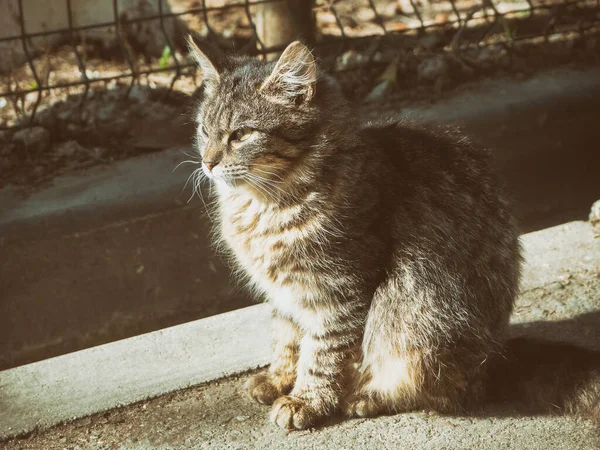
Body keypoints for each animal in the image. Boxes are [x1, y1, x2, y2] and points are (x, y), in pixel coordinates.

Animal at [189, 38, 600, 428]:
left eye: (242, 134)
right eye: (204, 131)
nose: (208, 163)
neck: (262, 206)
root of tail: (498, 354)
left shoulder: (339, 291)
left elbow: (321, 353)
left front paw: (306, 400)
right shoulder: (284, 293)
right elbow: (286, 338)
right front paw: (278, 379)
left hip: (412, 311)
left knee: (442, 391)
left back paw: (368, 397)